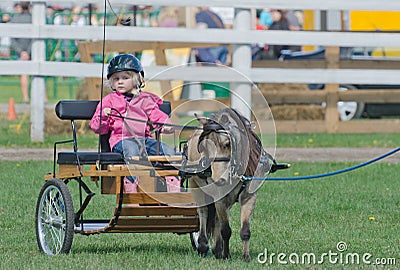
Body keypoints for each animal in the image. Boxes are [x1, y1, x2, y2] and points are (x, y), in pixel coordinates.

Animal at [186, 108, 274, 262]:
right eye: (203, 147)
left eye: (227, 144)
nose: (218, 179)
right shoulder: (219, 197)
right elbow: (226, 230)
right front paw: (226, 255)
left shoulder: (249, 196)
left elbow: (245, 230)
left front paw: (245, 257)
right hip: (196, 186)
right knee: (203, 212)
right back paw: (203, 246)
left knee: (216, 218)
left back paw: (217, 248)